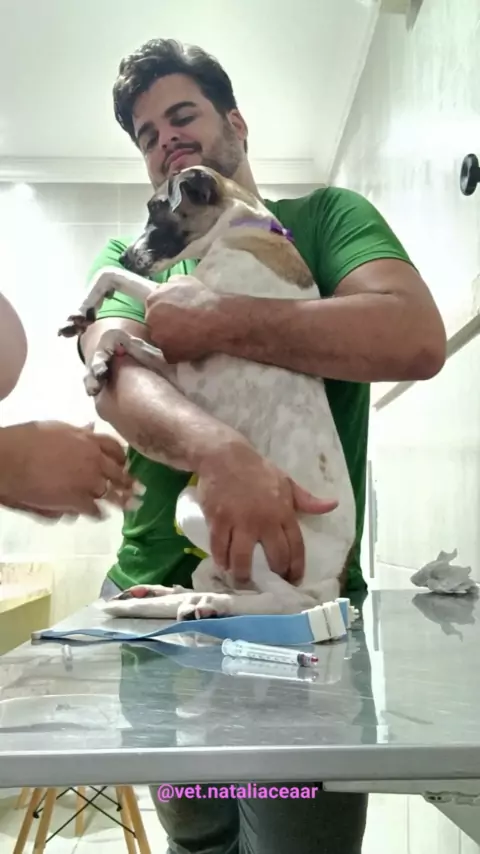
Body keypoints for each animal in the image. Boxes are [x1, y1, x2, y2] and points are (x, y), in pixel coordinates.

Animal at [59, 166, 356, 621]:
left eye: (156, 207)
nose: (125, 255)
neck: (243, 228)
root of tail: (332, 578)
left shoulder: (177, 303)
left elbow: (109, 279)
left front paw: (88, 305)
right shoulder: (175, 366)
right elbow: (116, 333)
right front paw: (98, 365)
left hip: (229, 525)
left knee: (287, 601)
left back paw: (213, 605)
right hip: (207, 532)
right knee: (218, 582)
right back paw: (157, 597)